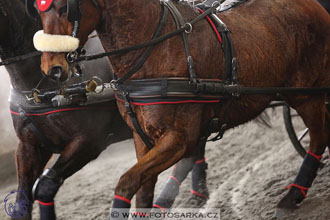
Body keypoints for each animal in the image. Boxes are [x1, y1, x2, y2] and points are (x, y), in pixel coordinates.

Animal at [35, 0, 330, 217]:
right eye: (39, 11)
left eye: (65, 8)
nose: (53, 68)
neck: (155, 49)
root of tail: (314, 6)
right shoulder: (141, 137)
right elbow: (143, 190)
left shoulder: (177, 139)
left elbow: (127, 182)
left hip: (306, 94)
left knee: (318, 137)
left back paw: (293, 194)